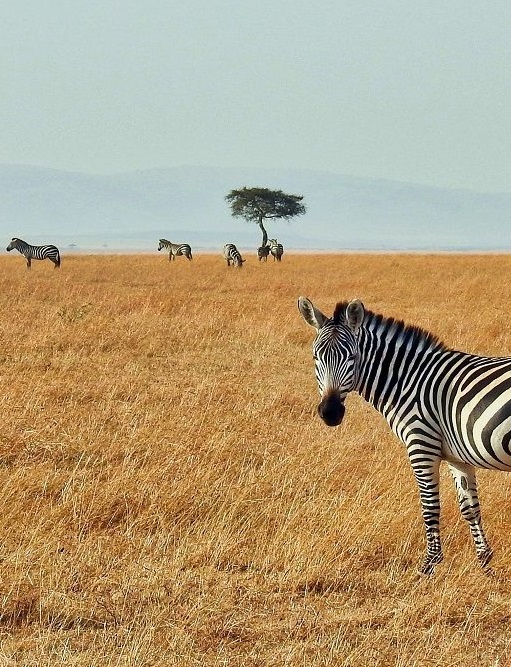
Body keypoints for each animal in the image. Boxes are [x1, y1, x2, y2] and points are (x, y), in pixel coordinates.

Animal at [298, 294, 511, 576]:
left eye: (352, 356)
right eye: (315, 357)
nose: (330, 413)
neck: (407, 381)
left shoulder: (421, 445)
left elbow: (430, 507)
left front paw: (429, 566)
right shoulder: (458, 457)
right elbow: (470, 509)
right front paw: (485, 565)